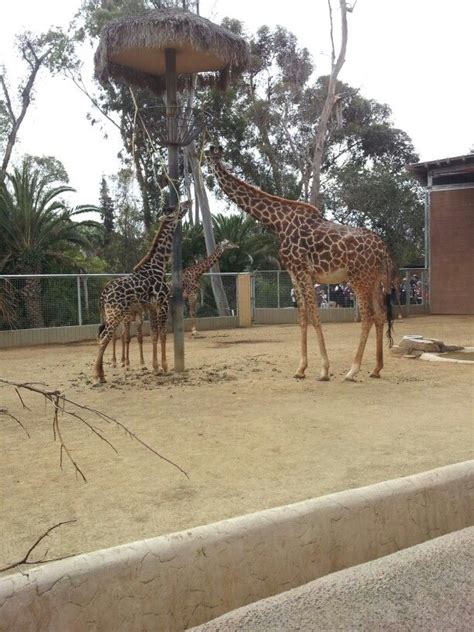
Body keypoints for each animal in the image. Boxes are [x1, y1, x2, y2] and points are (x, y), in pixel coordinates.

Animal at [95, 200, 190, 382]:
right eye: (178, 207)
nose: (189, 201)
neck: (158, 265)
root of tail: (103, 295)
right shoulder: (163, 304)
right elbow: (163, 334)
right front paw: (165, 367)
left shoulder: (151, 307)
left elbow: (153, 335)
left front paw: (155, 367)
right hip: (115, 314)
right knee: (105, 338)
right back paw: (99, 376)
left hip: (110, 315)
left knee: (103, 337)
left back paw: (102, 373)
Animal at [207, 148, 396, 380]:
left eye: (208, 155)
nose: (206, 162)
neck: (278, 223)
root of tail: (382, 247)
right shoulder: (293, 273)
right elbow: (302, 317)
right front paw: (301, 369)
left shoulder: (303, 271)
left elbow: (314, 316)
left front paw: (324, 370)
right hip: (374, 279)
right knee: (380, 314)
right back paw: (376, 369)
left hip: (359, 277)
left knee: (368, 316)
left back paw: (352, 370)